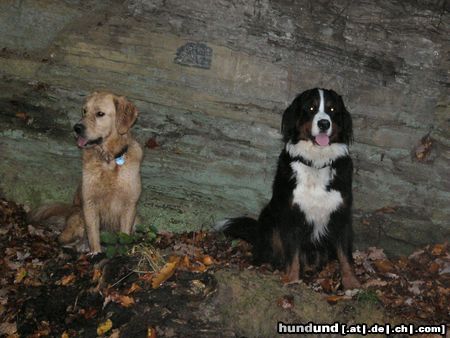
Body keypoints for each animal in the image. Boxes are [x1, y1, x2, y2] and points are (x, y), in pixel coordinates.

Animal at [29, 91, 142, 252]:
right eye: (84, 111)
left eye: (100, 113)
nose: (76, 128)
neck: (108, 161)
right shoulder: (89, 204)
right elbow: (93, 236)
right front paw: (96, 252)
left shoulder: (130, 205)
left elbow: (124, 236)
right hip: (78, 215)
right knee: (63, 239)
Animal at [216, 88, 360, 290]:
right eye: (311, 108)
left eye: (332, 109)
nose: (324, 123)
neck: (316, 163)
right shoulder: (291, 214)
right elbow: (292, 254)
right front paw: (291, 279)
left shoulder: (341, 214)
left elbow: (345, 256)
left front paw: (351, 282)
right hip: (269, 218)